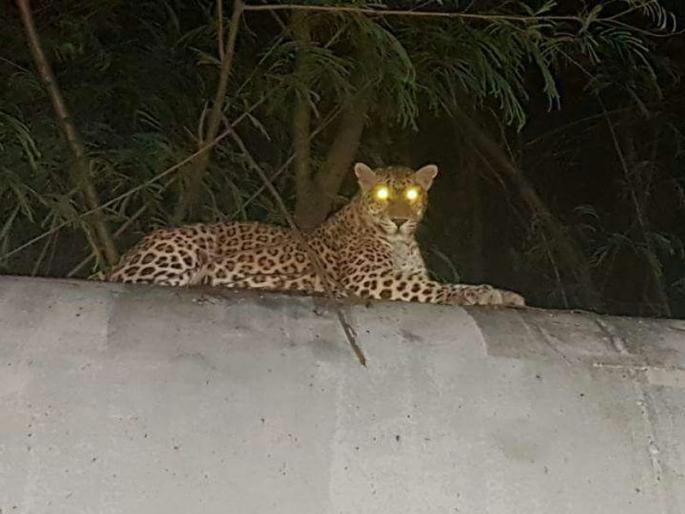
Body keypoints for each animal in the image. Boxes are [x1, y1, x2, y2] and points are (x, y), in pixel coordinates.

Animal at [104, 162, 525, 307]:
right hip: (183, 249)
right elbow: (436, 288)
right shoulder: (369, 279)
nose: (399, 220)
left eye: (410, 196)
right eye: (382, 195)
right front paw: (489, 293)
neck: (401, 243)